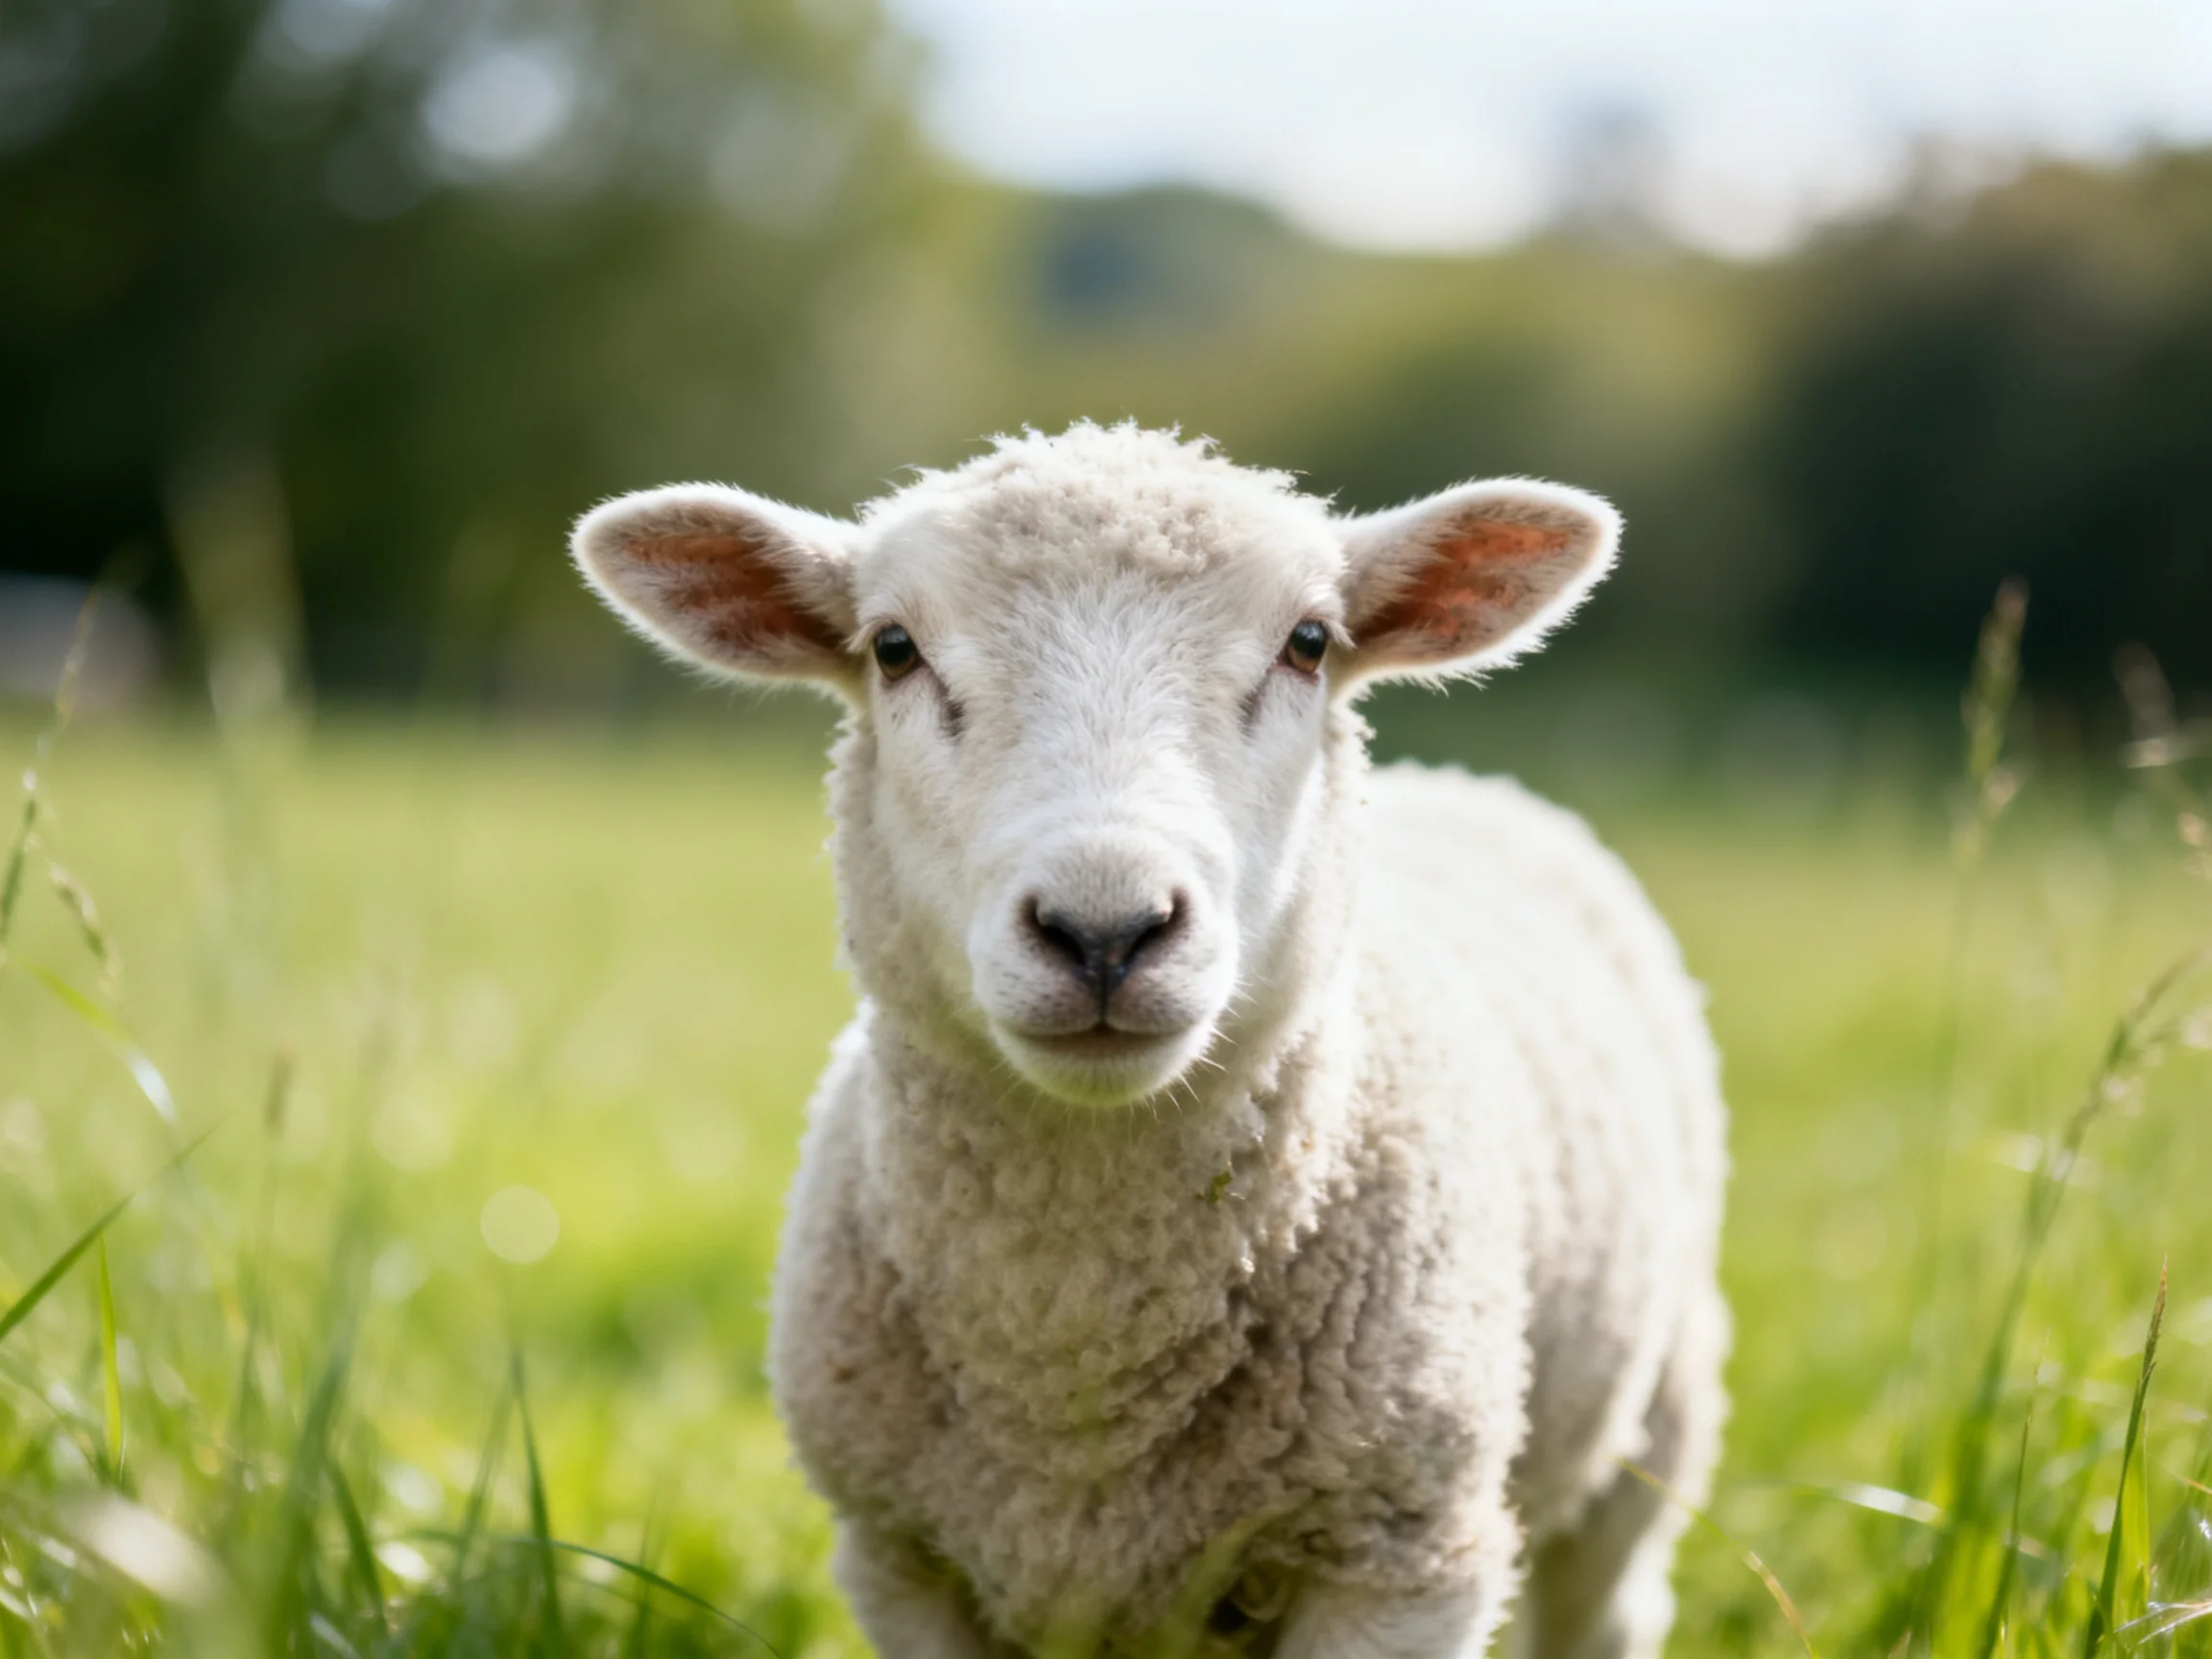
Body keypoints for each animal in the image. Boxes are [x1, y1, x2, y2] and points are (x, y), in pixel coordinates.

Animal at [571, 423, 1729, 1659]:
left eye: (1309, 642)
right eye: (892, 648)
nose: (1105, 929)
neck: (1076, 1345)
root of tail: (1468, 783)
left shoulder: (1402, 1562)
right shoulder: (900, 1562)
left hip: (1653, 1414)